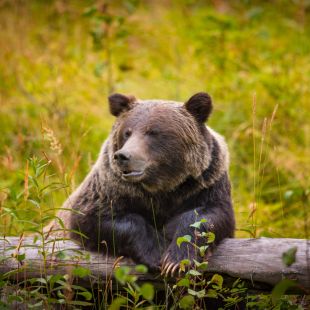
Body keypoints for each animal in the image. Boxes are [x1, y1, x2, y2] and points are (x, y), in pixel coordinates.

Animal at [46, 92, 234, 276]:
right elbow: (94, 217)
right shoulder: (111, 189)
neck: (162, 187)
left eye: (153, 132)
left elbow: (209, 215)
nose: (123, 156)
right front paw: (157, 253)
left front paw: (175, 260)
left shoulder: (205, 184)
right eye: (127, 132)